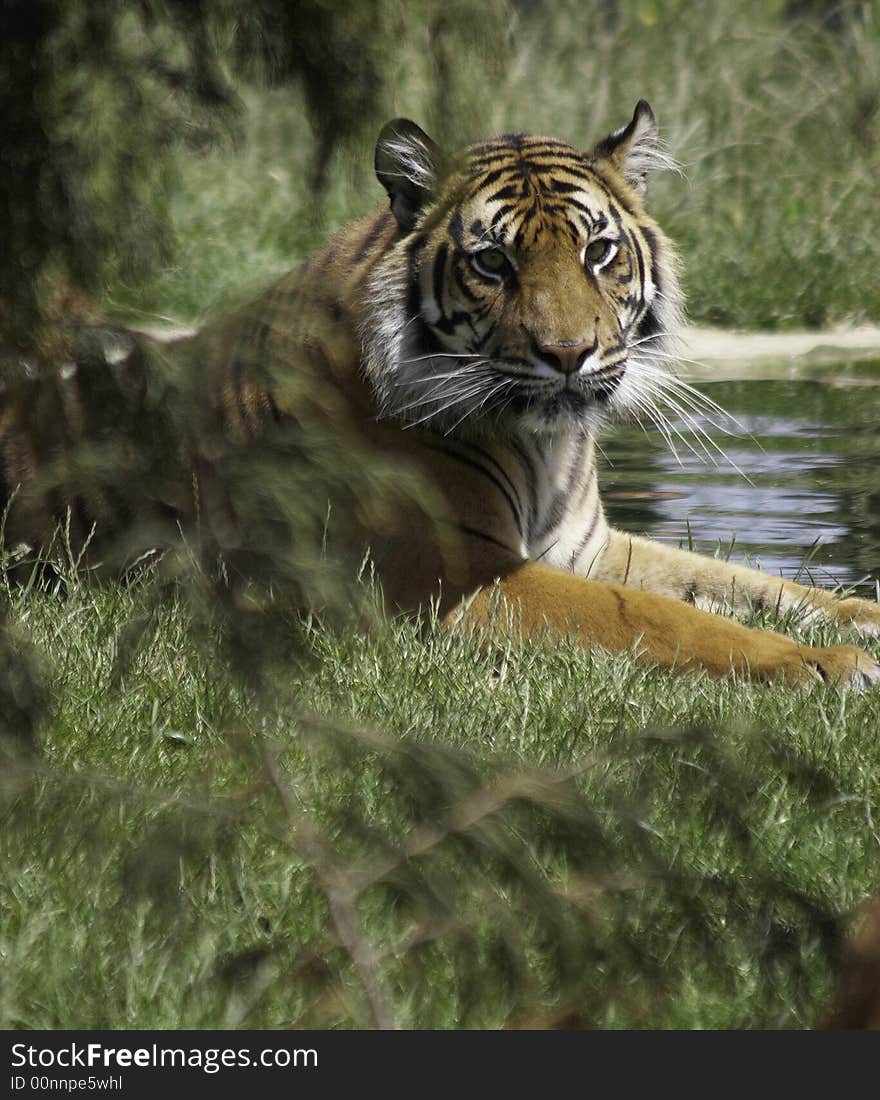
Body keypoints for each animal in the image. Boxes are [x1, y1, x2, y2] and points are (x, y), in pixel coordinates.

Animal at [5, 105, 880, 686]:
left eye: (599, 253)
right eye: (493, 262)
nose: (570, 355)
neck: (547, 446)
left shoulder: (589, 547)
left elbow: (746, 583)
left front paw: (858, 617)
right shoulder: (448, 575)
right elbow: (664, 615)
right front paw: (828, 664)